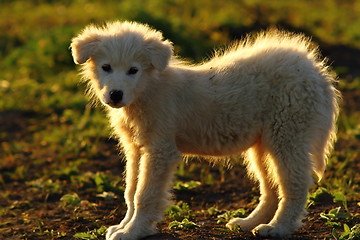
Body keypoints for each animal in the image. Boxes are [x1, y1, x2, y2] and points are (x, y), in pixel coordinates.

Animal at [71, 21, 340, 239]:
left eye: (133, 70)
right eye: (106, 67)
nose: (115, 95)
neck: (147, 90)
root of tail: (315, 71)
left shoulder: (160, 150)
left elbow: (144, 194)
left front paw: (135, 231)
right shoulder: (136, 149)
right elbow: (130, 191)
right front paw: (123, 226)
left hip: (287, 135)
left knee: (294, 184)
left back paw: (278, 227)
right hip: (263, 145)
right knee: (271, 187)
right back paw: (249, 223)